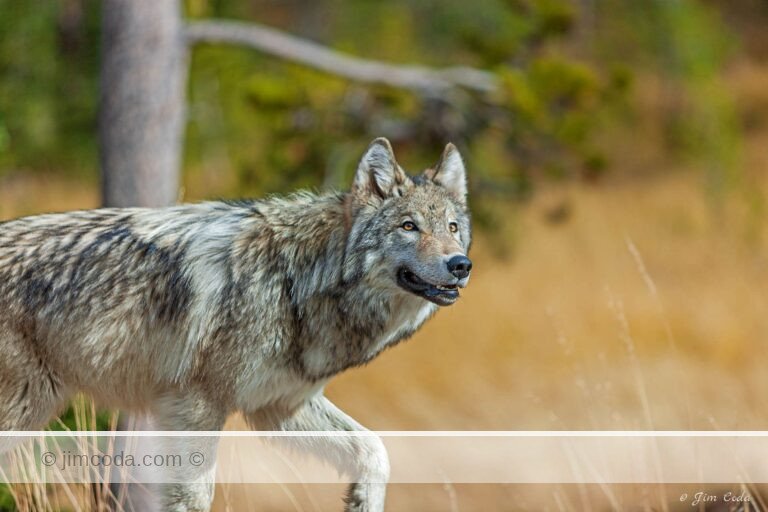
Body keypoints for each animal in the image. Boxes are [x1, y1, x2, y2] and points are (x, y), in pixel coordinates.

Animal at [0, 138, 472, 511]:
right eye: (409, 227)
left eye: (452, 228)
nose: (461, 265)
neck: (295, 280)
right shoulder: (196, 406)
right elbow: (195, 497)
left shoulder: (278, 407)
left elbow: (374, 449)